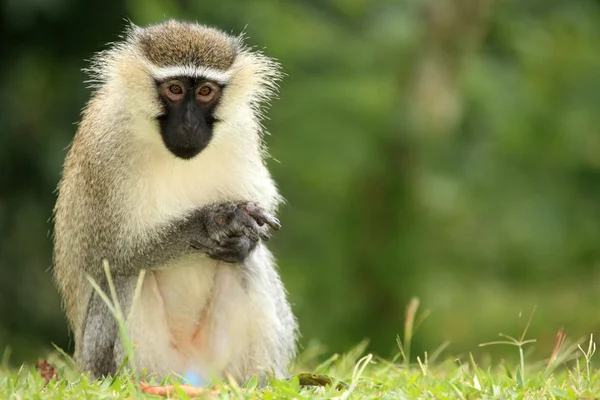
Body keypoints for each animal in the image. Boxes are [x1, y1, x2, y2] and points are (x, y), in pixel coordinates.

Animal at [51, 21, 298, 384]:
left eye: (206, 91)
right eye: (176, 89)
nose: (190, 124)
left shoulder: (242, 130)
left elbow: (251, 239)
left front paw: (240, 240)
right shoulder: (104, 145)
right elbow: (108, 256)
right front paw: (216, 221)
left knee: (246, 265)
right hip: (114, 361)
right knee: (125, 275)